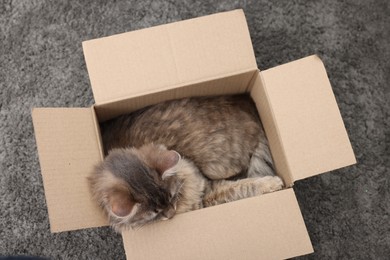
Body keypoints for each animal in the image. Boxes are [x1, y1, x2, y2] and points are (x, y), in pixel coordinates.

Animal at [88, 94, 284, 231]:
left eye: (171, 196)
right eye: (154, 214)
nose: (171, 215)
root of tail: (247, 103)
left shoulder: (206, 186)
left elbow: (244, 186)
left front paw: (273, 183)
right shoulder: (209, 194)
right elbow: (240, 188)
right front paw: (272, 183)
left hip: (218, 166)